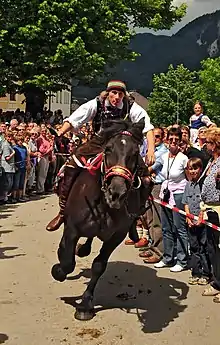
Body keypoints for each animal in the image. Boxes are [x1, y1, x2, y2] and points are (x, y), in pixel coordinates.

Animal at [51, 119, 151, 320]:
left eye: (135, 153)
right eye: (108, 149)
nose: (116, 193)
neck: (104, 205)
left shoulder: (117, 236)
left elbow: (99, 265)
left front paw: (85, 305)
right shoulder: (72, 229)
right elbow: (67, 261)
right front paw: (58, 270)